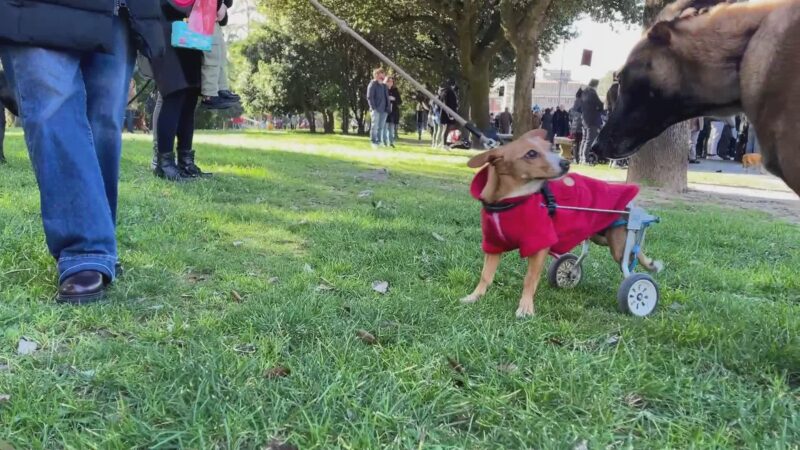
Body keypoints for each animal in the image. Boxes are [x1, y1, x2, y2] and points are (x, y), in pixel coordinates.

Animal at [462, 128, 664, 318]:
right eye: (531, 153)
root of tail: (630, 207)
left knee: (630, 263)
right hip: (600, 236)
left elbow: (529, 279)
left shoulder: (539, 245)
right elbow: (485, 276)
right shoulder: (493, 244)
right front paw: (475, 296)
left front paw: (525, 308)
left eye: (551, 148)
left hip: (618, 245)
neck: (508, 201)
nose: (566, 164)